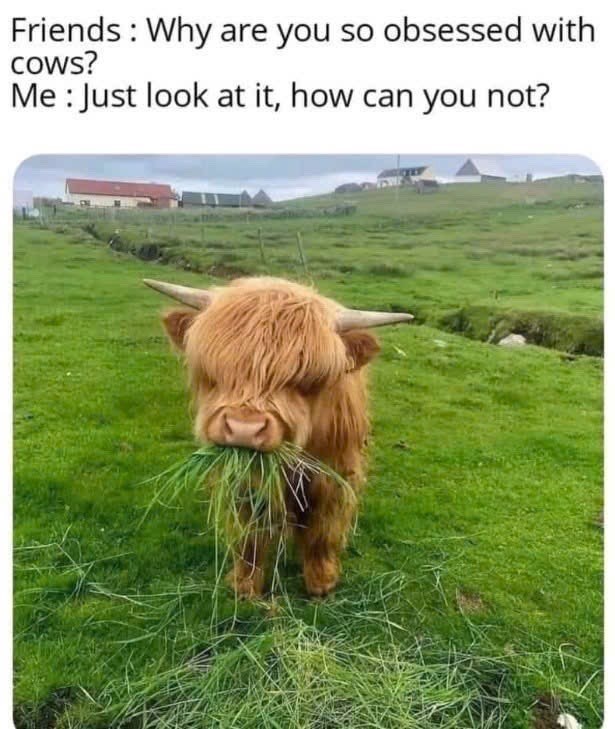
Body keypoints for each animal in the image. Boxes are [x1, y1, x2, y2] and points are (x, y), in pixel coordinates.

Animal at [145, 277, 412, 598]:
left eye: (308, 379)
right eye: (215, 371)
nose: (244, 429)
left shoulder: (334, 472)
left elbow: (323, 527)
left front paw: (321, 581)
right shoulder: (245, 481)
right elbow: (249, 532)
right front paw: (245, 584)